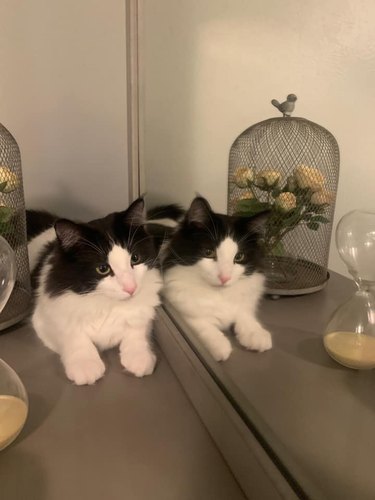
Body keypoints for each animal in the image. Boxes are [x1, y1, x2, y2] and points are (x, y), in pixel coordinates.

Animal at [26, 197, 162, 384]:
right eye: (103, 269)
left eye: (135, 259)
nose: (131, 288)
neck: (106, 303)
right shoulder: (45, 318)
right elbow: (74, 335)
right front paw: (85, 366)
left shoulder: (145, 312)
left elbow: (137, 330)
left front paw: (140, 357)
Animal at [162, 197, 274, 362]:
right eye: (208, 253)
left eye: (239, 257)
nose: (225, 277)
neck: (219, 294)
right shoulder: (179, 309)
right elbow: (201, 323)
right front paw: (219, 346)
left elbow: (244, 314)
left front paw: (256, 333)